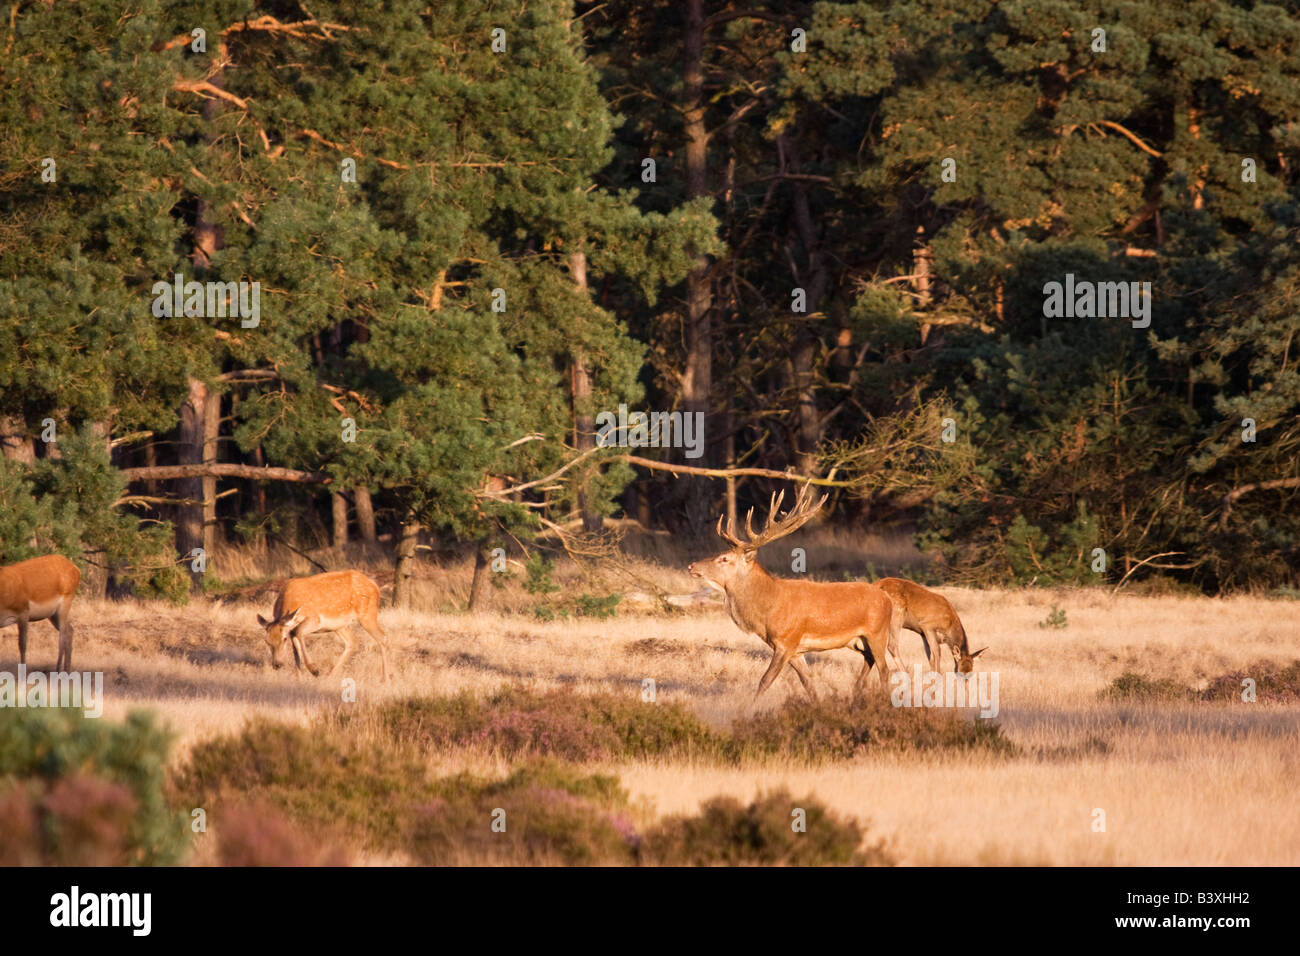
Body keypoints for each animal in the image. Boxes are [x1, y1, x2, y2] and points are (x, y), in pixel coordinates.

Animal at [257, 570, 391, 682]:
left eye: (283, 639)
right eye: (266, 641)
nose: (277, 664)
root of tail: (375, 586)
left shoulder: (315, 619)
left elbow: (299, 632)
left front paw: (314, 670)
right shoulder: (291, 629)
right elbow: (296, 646)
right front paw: (299, 678)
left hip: (367, 613)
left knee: (383, 637)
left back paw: (385, 679)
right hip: (339, 625)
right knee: (353, 641)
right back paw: (330, 676)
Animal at [687, 484, 901, 705]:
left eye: (724, 558)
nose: (691, 566)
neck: (767, 611)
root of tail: (887, 598)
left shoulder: (786, 642)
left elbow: (765, 681)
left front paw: (751, 708)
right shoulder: (796, 651)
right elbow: (808, 683)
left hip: (877, 633)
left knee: (885, 669)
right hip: (857, 641)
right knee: (870, 660)